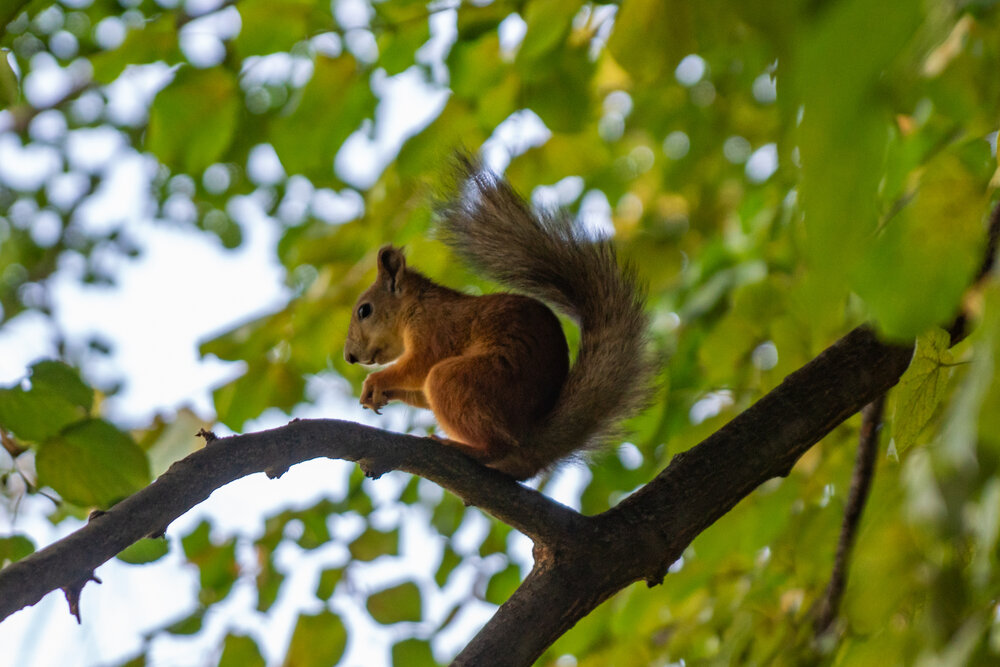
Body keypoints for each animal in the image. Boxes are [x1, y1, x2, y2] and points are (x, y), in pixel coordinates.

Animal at [343, 158, 654, 480]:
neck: (416, 305)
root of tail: (530, 439)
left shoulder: (436, 328)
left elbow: (421, 364)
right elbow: (419, 391)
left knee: (494, 440)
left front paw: (376, 380)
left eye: (364, 310)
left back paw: (464, 448)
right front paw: (382, 393)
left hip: (470, 379)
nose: (349, 356)